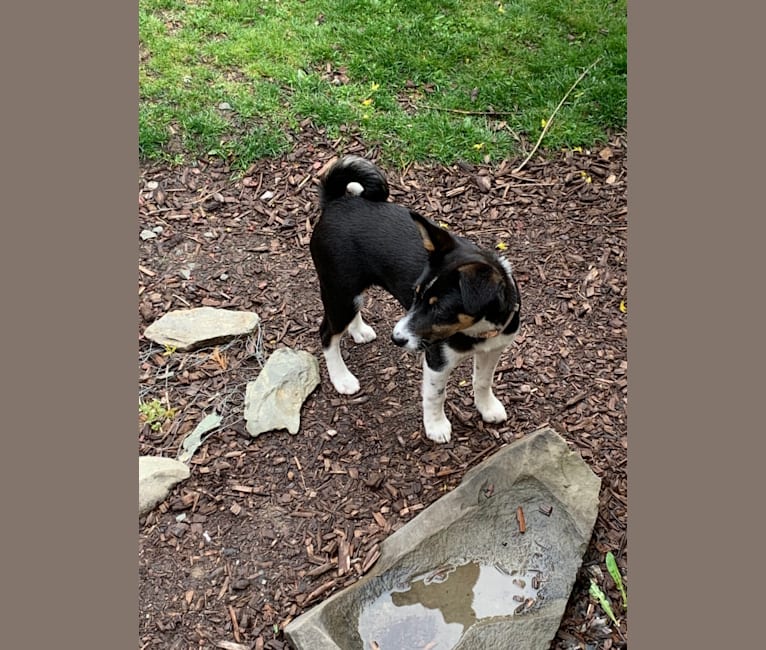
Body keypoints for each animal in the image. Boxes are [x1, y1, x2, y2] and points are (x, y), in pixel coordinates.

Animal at [310, 156, 520, 440]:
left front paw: (487, 408)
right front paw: (436, 426)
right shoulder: (437, 360)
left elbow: (483, 380)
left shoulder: (494, 349)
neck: (478, 331)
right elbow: (435, 395)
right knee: (327, 333)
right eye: (416, 294)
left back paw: (359, 331)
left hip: (349, 293)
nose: (396, 339)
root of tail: (335, 202)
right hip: (338, 290)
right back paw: (342, 378)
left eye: (440, 309)